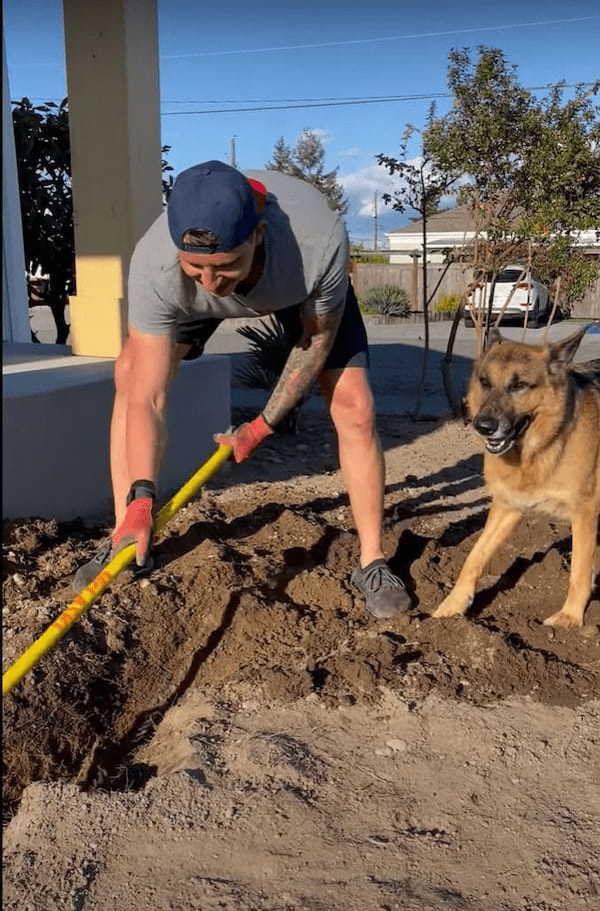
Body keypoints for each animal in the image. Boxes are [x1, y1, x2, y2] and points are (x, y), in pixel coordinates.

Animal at [434, 324, 596, 632]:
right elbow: (474, 556)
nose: (483, 426)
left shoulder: (585, 513)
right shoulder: (508, 507)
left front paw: (571, 618)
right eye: (485, 382)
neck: (546, 444)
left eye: (519, 386)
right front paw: (453, 605)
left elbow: (579, 570)